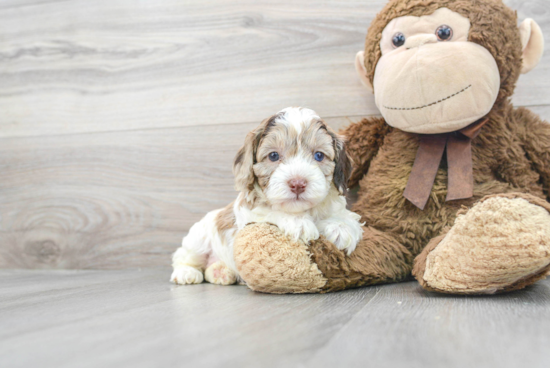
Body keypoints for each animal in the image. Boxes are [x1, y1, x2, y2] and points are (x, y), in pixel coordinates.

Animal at [170, 106, 364, 284]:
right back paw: (186, 273)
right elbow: (270, 212)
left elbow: (345, 216)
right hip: (198, 239)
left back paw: (221, 272)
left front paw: (340, 227)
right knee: (184, 256)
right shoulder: (249, 213)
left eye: (318, 155)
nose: (298, 183)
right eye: (273, 156)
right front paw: (298, 222)